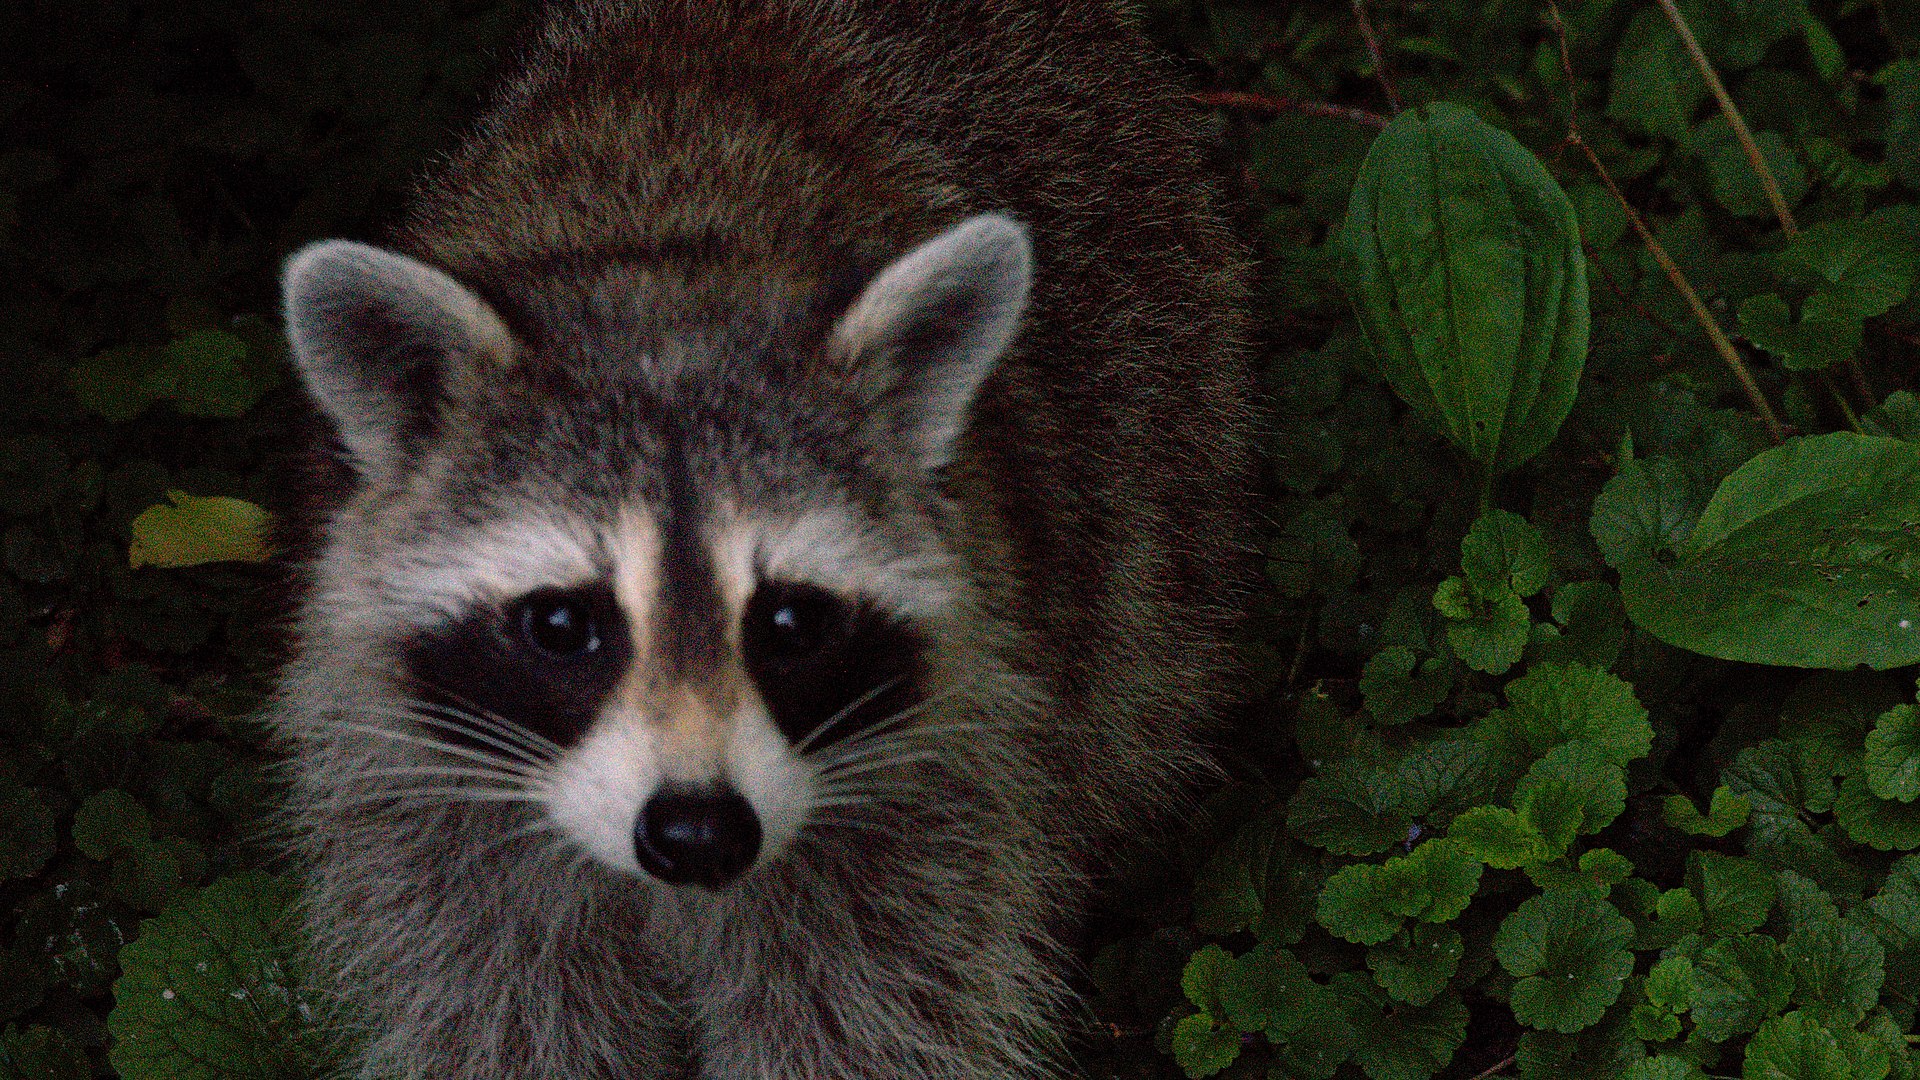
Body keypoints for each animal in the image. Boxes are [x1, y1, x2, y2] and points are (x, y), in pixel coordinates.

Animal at [274, 1, 1250, 1076]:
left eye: (789, 621)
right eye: (564, 625)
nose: (699, 831)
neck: (662, 262)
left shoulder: (934, 789)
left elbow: (871, 1023)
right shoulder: (422, 805)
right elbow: (502, 1019)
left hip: (1162, 425)